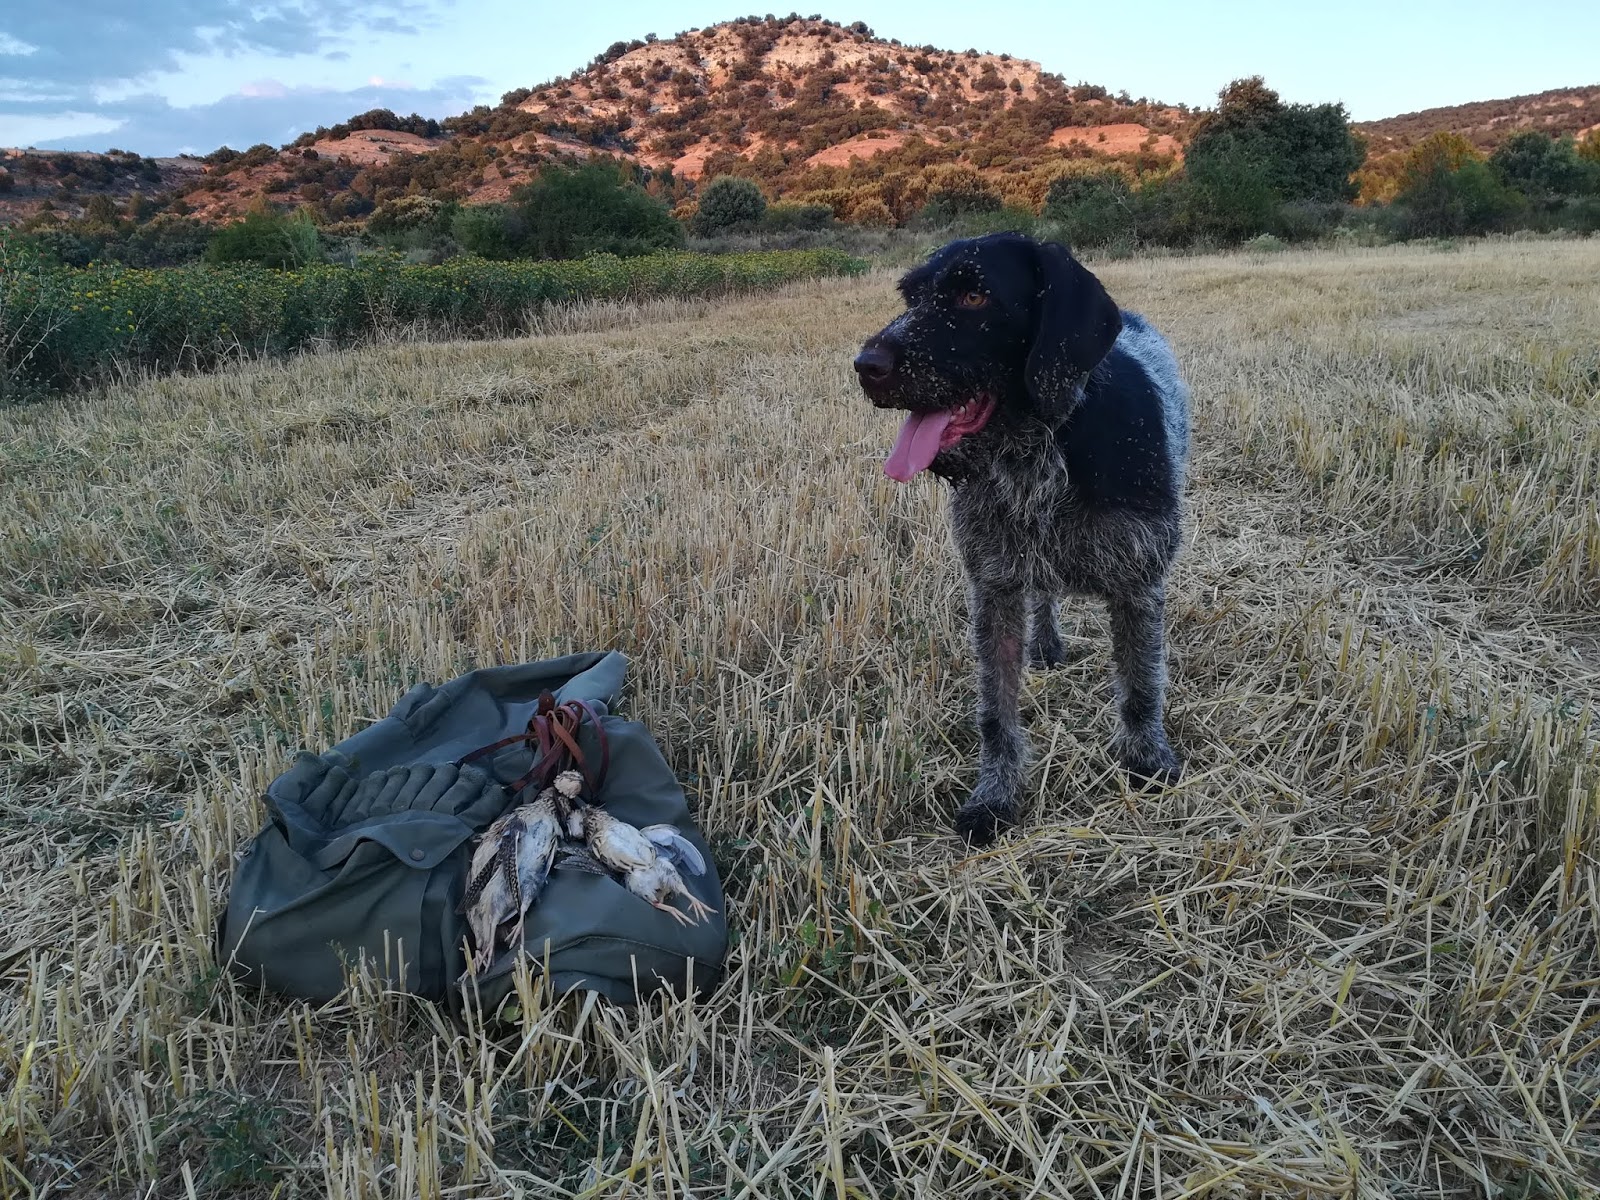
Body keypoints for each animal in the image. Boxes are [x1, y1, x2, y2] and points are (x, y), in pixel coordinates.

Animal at [854, 232, 1190, 844]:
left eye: (974, 295)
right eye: (911, 297)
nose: (865, 366)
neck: (1038, 447)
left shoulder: (1139, 584)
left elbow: (1141, 687)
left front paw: (1147, 761)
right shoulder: (996, 589)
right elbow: (997, 713)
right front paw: (996, 795)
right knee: (1046, 593)